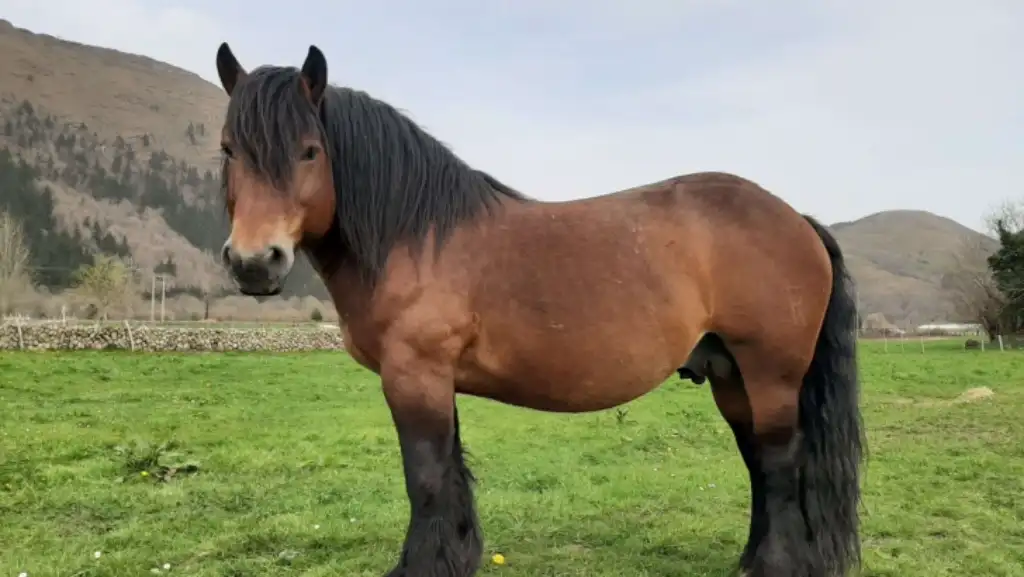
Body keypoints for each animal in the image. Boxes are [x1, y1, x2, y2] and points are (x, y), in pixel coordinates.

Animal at [213, 42, 865, 577]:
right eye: (228, 150)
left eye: (309, 152)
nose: (254, 262)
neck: (417, 238)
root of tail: (796, 219)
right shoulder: (435, 380)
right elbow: (449, 472)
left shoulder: (414, 375)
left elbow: (425, 476)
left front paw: (420, 567)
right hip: (731, 375)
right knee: (758, 462)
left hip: (770, 374)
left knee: (779, 464)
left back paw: (772, 567)